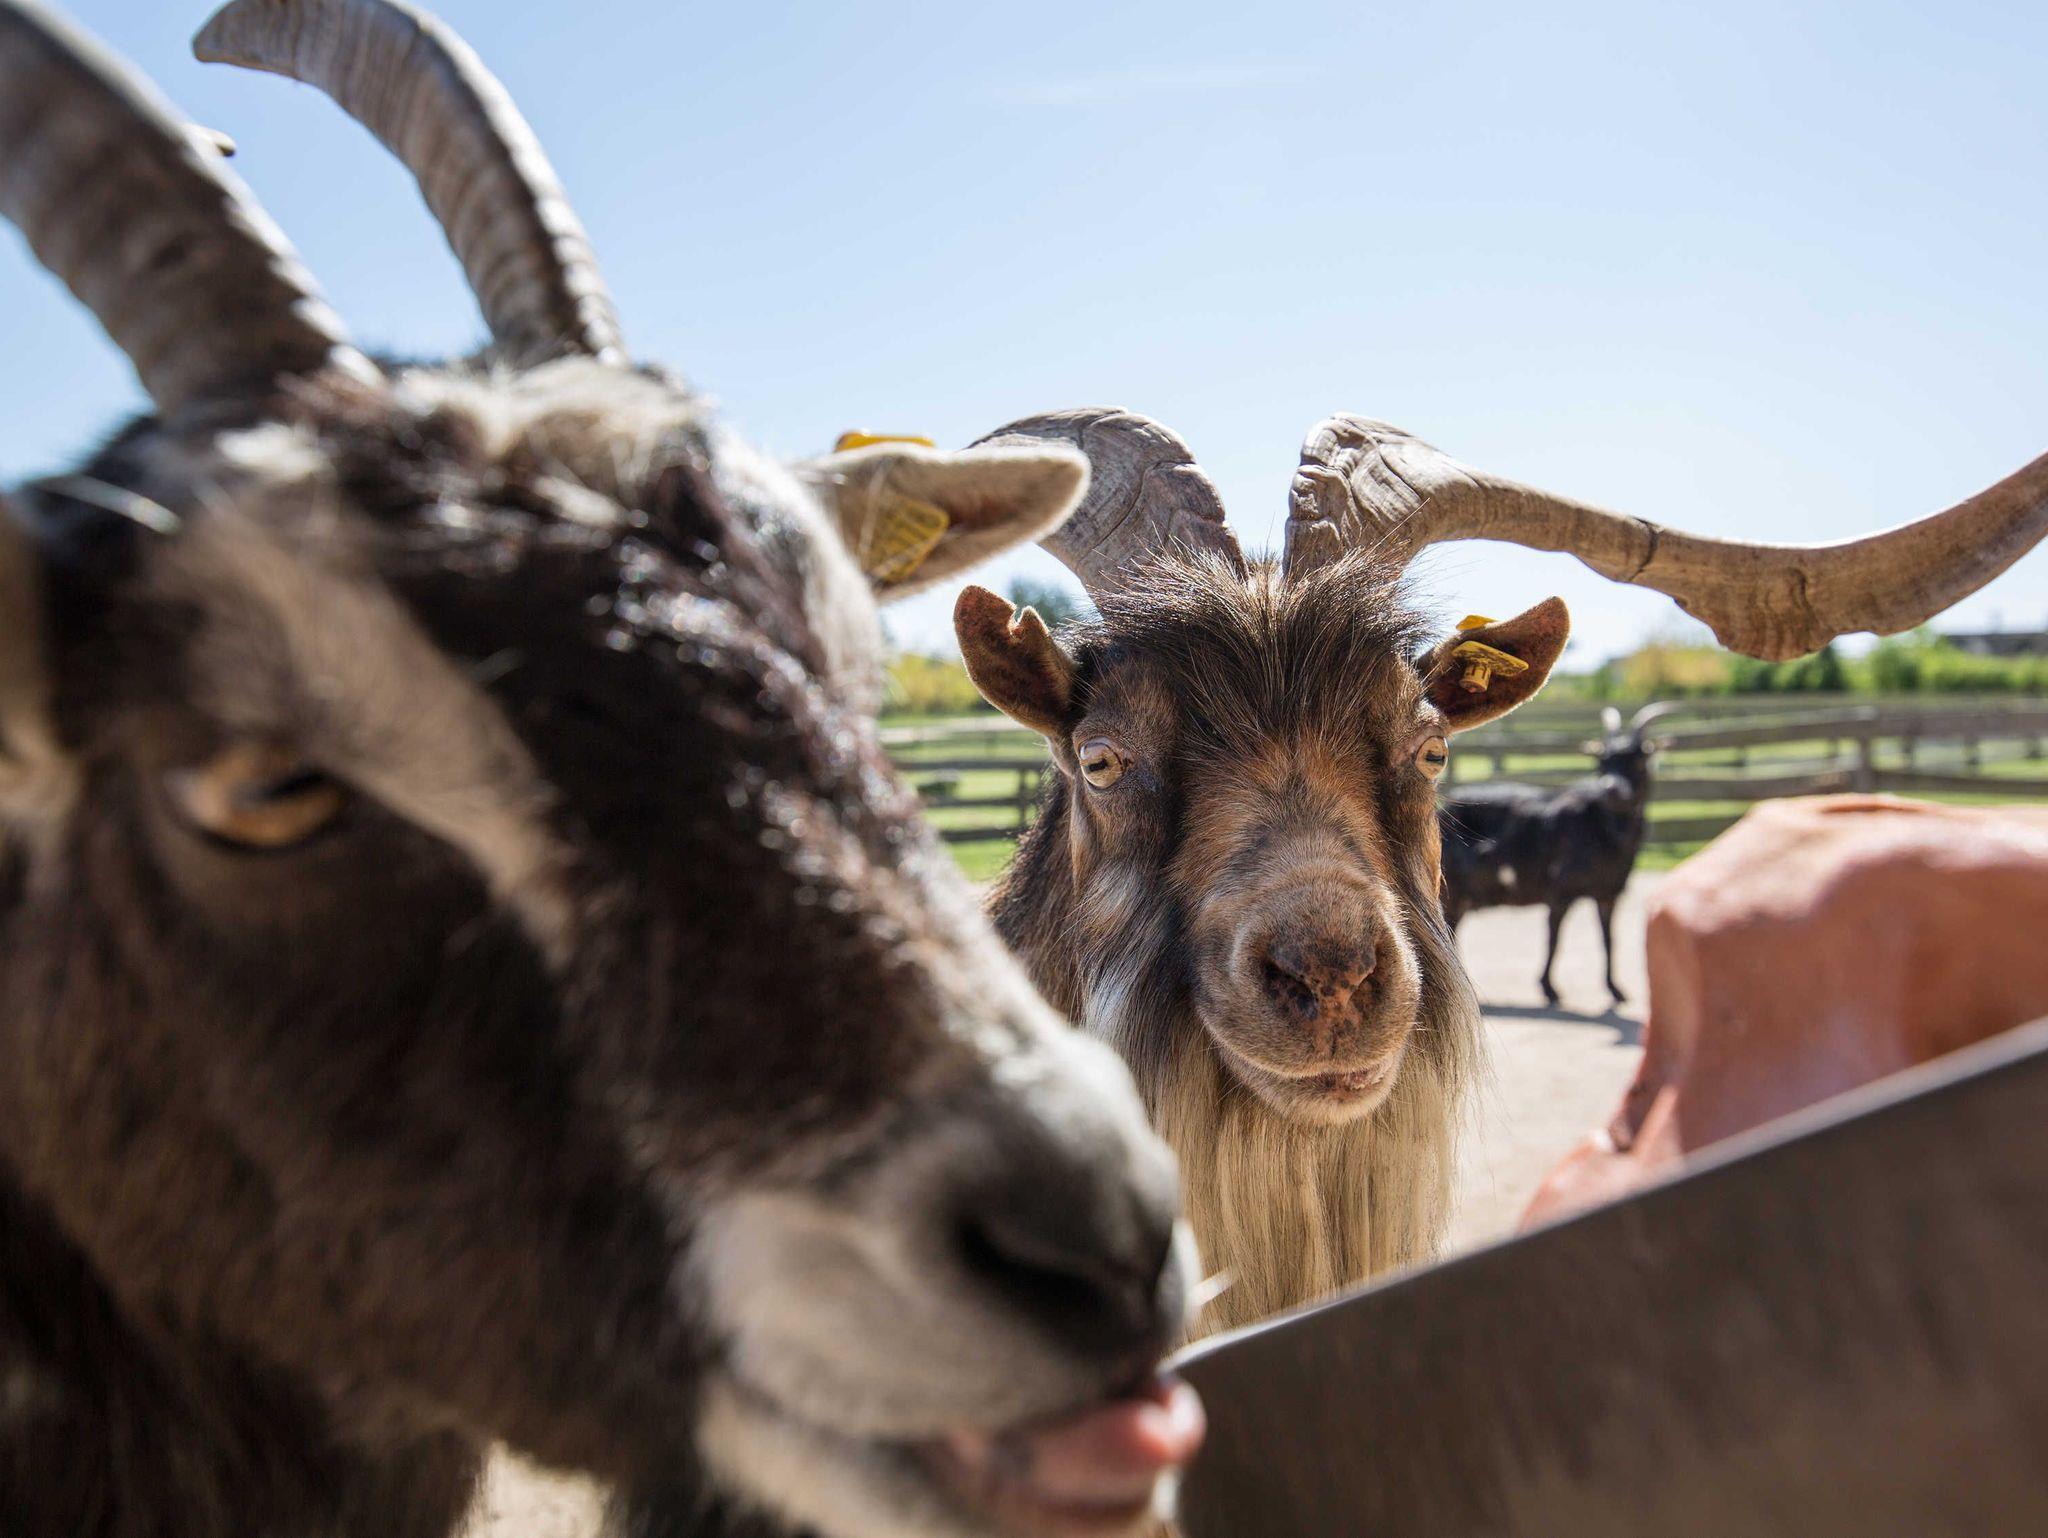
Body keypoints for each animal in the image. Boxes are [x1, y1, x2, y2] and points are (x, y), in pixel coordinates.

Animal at [1438, 702, 1680, 1007]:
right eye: (1602, 762)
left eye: (1638, 760)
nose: (1611, 788)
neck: (1600, 829)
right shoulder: (1559, 890)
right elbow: (1554, 939)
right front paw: (1550, 989)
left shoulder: (1608, 894)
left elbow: (1609, 939)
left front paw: (1616, 990)